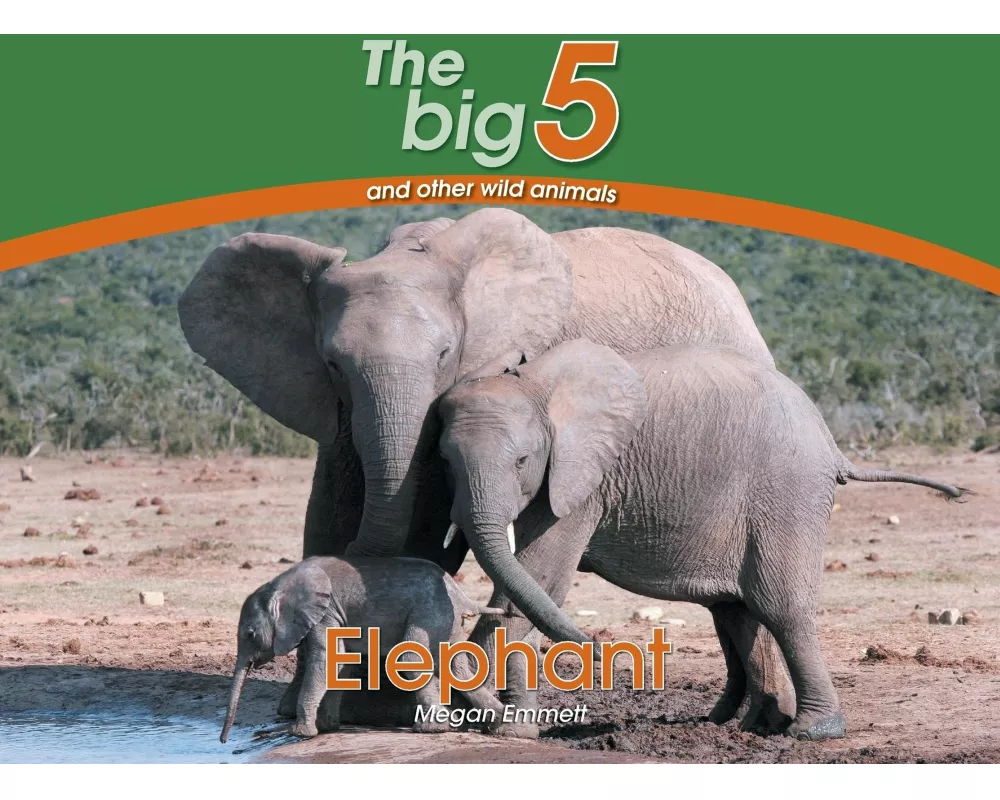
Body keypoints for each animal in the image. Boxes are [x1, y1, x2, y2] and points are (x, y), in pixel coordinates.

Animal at [220, 555, 506, 743]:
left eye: (250, 634)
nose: (224, 740)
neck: (281, 584)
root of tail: (461, 595)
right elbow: (342, 663)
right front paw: (326, 727)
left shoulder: (325, 614)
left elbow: (327, 661)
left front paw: (301, 734)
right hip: (447, 620)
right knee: (458, 668)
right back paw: (505, 722)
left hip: (429, 612)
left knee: (411, 659)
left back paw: (429, 730)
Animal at [436, 339, 969, 741]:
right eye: (443, 462)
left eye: (522, 461)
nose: (604, 650)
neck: (535, 384)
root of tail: (834, 446)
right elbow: (530, 581)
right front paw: (508, 722)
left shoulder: (584, 477)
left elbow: (541, 576)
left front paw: (502, 721)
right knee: (736, 611)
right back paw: (744, 725)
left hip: (788, 492)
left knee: (780, 607)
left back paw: (810, 732)